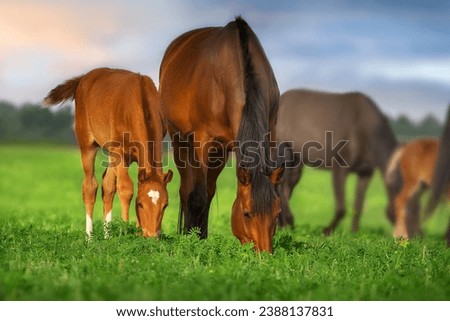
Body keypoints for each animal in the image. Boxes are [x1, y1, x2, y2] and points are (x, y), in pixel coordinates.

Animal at [44, 67, 173, 238]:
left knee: (107, 186)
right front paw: (125, 231)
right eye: (140, 204)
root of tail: (84, 78)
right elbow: (126, 188)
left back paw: (107, 236)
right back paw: (89, 237)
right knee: (90, 186)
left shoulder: (131, 156)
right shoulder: (119, 151)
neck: (138, 103)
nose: (152, 236)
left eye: (165, 205)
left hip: (112, 156)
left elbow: (117, 186)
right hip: (88, 145)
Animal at [160, 16, 284, 252]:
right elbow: (196, 196)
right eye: (246, 213)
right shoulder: (203, 140)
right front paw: (193, 242)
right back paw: (189, 234)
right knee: (187, 190)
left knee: (208, 191)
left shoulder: (269, 134)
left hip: (220, 152)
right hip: (180, 141)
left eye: (276, 214)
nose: (264, 254)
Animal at [276, 89, 400, 234]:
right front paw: (326, 230)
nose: (411, 236)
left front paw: (354, 232)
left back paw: (283, 224)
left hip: (295, 160)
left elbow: (358, 205)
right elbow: (341, 207)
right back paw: (288, 221)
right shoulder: (339, 167)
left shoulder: (366, 173)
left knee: (287, 184)